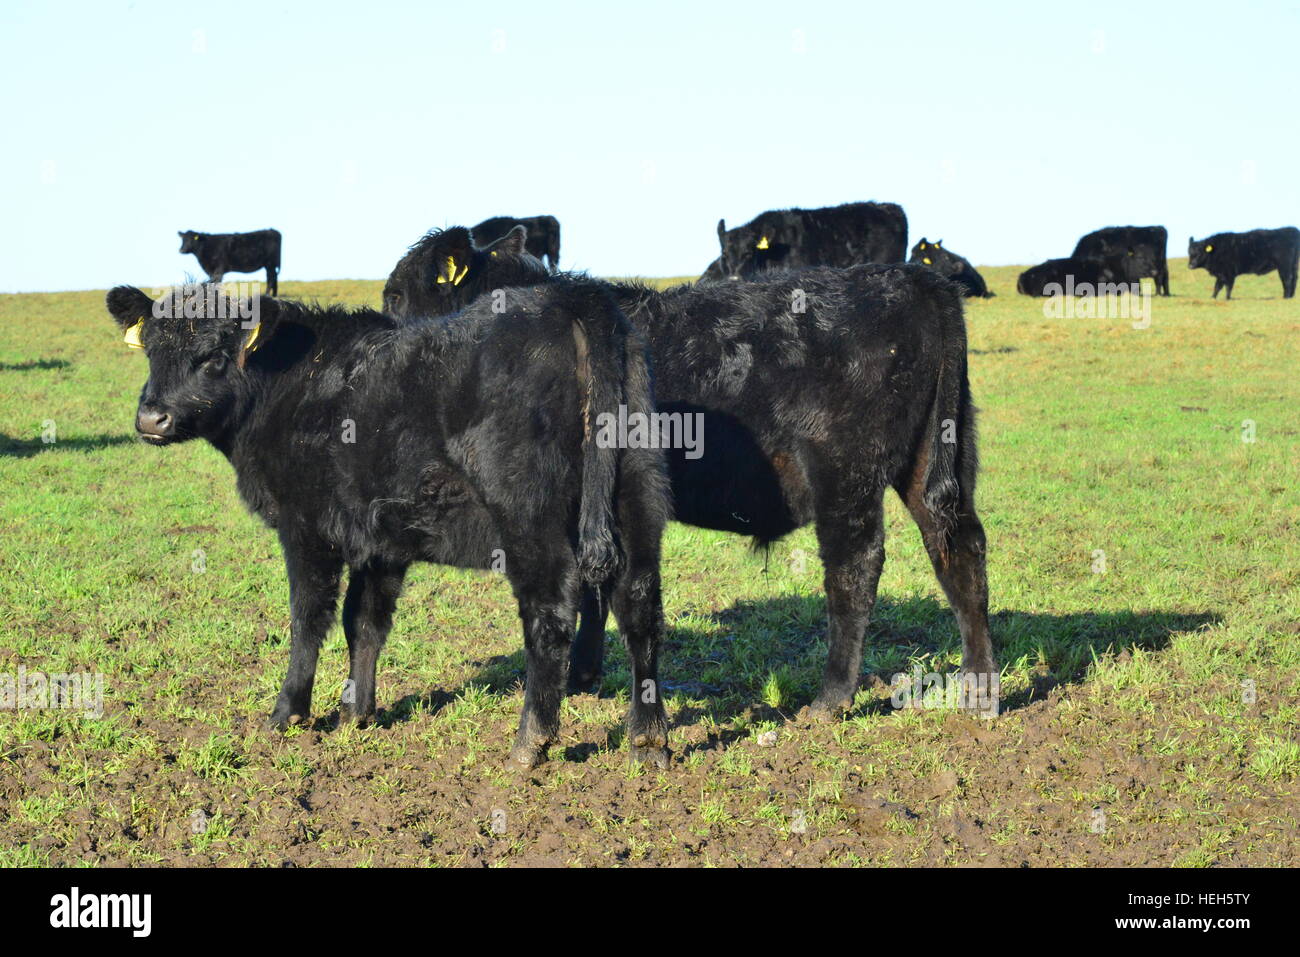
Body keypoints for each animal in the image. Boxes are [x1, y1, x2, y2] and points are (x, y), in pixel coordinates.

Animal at [106, 279, 671, 770]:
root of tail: (573, 293)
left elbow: (308, 619)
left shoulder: (305, 528)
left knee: (550, 614)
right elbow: (365, 622)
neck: (290, 386)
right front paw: (356, 712)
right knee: (639, 607)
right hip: (637, 497)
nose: (151, 418)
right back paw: (648, 740)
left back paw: (530, 742)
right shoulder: (381, 540)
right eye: (151, 351)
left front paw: (288, 712)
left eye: (216, 358)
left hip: (528, 514)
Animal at [385, 226, 998, 716]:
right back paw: (980, 688)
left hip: (844, 472)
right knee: (959, 547)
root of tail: (917, 281)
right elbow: (594, 583)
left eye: (395, 294)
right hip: (935, 458)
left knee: (855, 568)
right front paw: (584, 674)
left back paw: (830, 699)